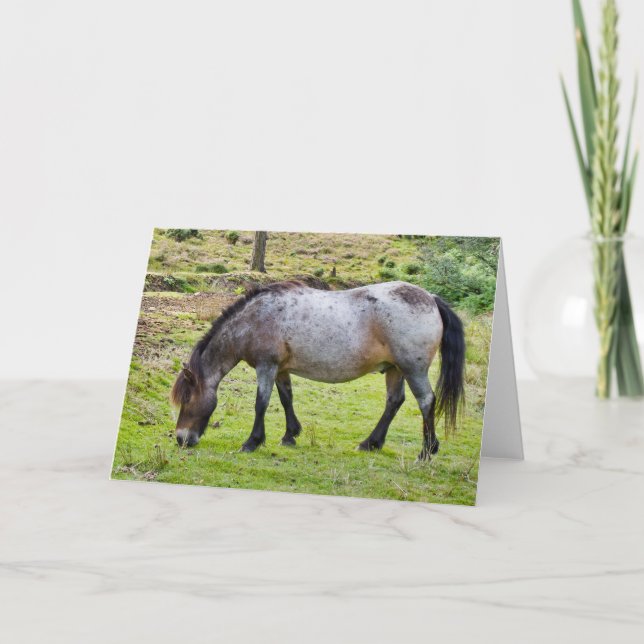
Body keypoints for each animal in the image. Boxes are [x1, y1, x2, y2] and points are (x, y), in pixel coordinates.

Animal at [171, 280, 465, 461]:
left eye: (187, 398)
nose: (181, 439)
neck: (255, 320)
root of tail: (431, 298)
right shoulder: (280, 369)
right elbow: (286, 398)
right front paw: (290, 435)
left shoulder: (267, 367)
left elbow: (261, 403)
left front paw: (252, 442)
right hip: (395, 369)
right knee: (394, 401)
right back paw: (370, 443)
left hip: (412, 369)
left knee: (425, 401)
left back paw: (426, 451)